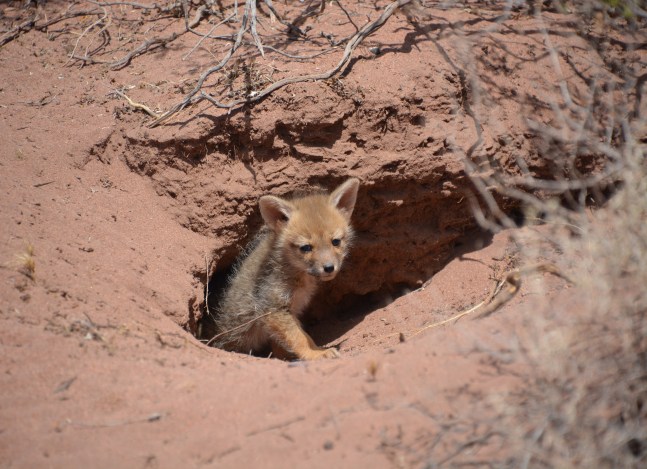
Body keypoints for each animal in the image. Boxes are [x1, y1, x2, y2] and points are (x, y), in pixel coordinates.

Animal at [211, 178, 360, 360]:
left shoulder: (290, 310)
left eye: (336, 242)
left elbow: (292, 340)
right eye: (306, 248)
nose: (329, 268)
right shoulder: (272, 308)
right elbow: (300, 339)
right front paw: (315, 354)